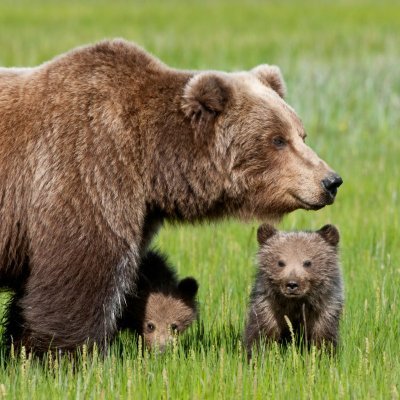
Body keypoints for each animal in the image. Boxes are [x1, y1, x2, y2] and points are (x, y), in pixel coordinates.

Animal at [244, 225, 344, 356]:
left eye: (307, 262)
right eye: (280, 262)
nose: (292, 284)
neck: (295, 303)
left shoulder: (324, 309)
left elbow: (323, 337)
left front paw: (323, 354)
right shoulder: (268, 307)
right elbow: (261, 334)